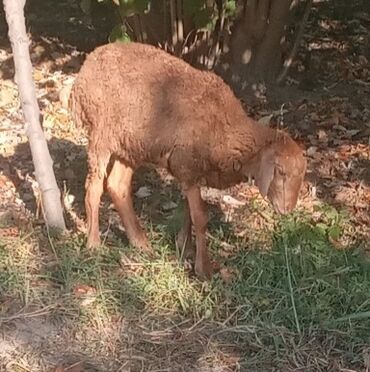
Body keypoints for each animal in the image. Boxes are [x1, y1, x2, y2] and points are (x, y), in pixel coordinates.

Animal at [69, 41, 306, 280]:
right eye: (281, 171)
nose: (287, 210)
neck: (226, 131)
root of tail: (89, 62)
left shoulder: (191, 172)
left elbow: (189, 213)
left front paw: (184, 247)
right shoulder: (189, 168)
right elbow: (200, 217)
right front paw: (203, 269)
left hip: (129, 145)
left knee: (118, 186)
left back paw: (140, 243)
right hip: (101, 134)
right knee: (94, 187)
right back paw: (94, 243)